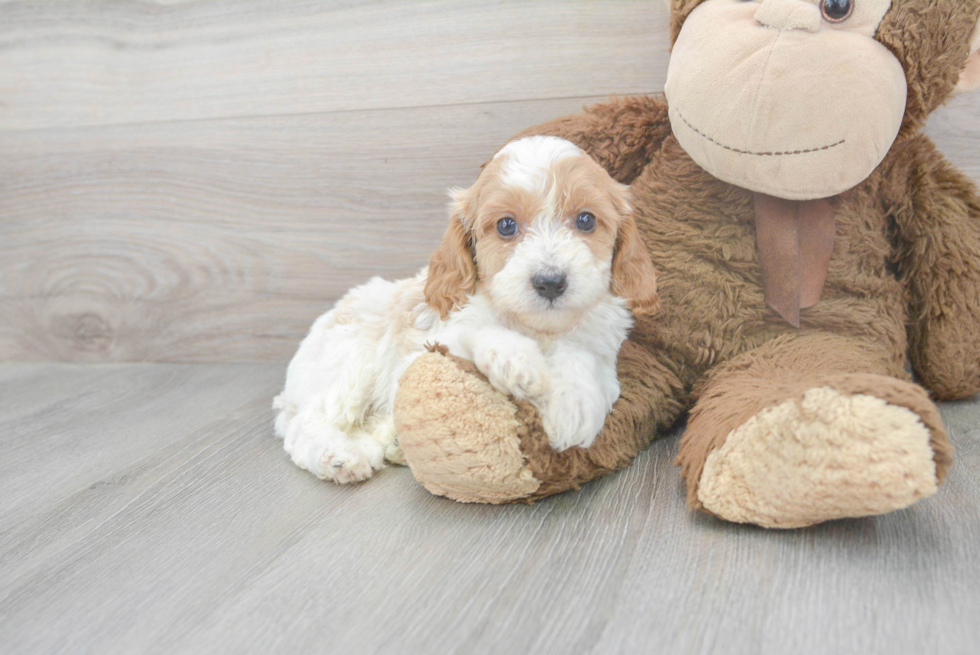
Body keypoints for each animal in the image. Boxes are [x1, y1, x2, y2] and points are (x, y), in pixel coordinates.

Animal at [274, 136, 660, 484]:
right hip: (350, 362)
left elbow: (580, 357)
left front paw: (571, 404)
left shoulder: (602, 352)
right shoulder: (430, 346)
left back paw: (392, 442)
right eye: (506, 225)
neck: (536, 327)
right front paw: (519, 362)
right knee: (305, 424)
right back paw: (340, 456)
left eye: (586, 221)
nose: (550, 281)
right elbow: (478, 331)